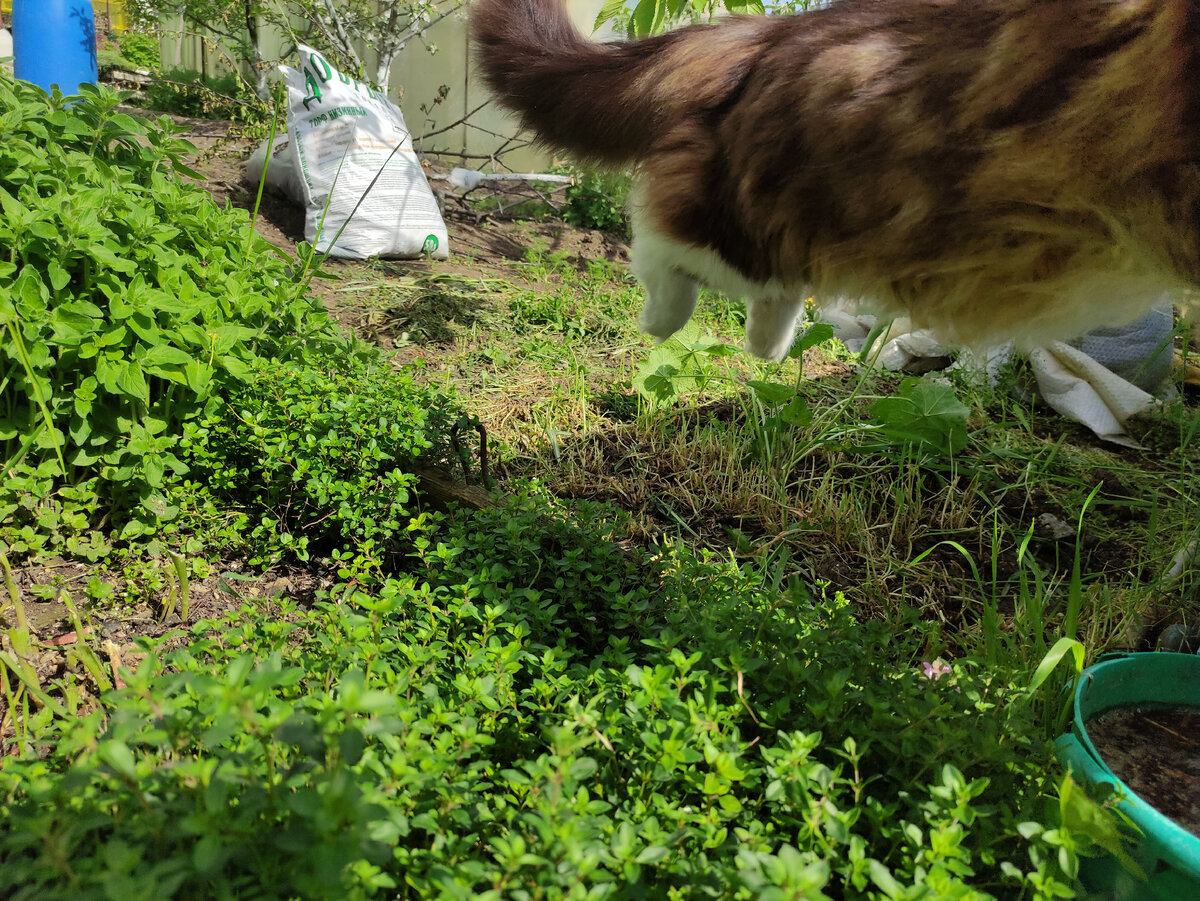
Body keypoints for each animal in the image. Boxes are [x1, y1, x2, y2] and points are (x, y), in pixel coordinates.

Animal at [468, 0, 1200, 359]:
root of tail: (772, 31)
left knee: (757, 278)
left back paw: (763, 348)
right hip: (759, 209)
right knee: (666, 251)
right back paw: (670, 326)